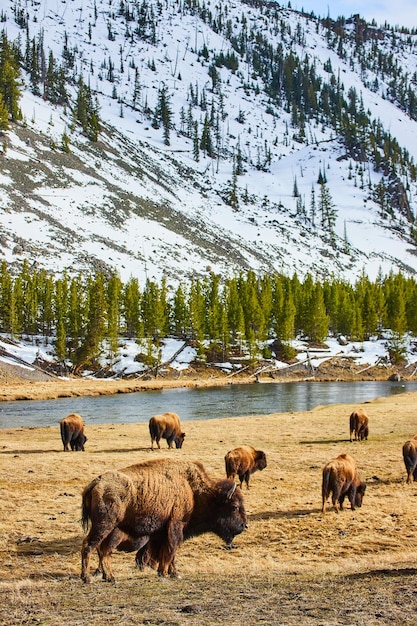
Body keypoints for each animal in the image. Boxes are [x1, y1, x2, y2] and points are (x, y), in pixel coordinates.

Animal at [79, 454, 245, 580]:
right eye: (234, 507)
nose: (244, 525)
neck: (192, 489)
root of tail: (95, 483)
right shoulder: (176, 525)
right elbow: (171, 550)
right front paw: (168, 573)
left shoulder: (162, 531)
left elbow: (166, 551)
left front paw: (168, 572)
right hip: (104, 525)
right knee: (89, 545)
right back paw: (87, 578)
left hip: (112, 529)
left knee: (103, 550)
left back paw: (110, 577)